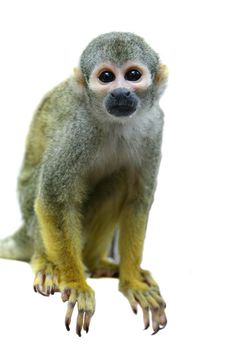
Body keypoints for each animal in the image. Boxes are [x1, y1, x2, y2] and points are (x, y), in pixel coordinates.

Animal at [0, 32, 168, 336]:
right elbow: (53, 198)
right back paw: (47, 263)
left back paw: (95, 262)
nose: (121, 93)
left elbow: (137, 202)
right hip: (32, 222)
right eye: (106, 77)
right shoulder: (77, 130)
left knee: (117, 182)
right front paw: (77, 284)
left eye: (133, 75)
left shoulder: (154, 127)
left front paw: (133, 282)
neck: (115, 124)